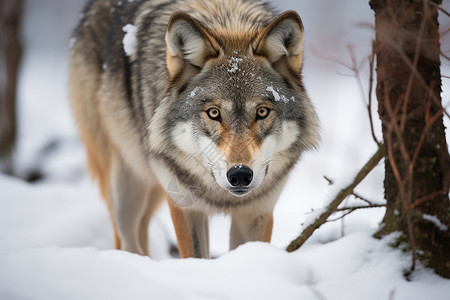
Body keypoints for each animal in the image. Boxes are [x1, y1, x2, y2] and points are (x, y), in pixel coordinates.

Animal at [68, 0, 318, 258]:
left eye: (262, 112)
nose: (239, 174)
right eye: (214, 113)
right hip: (125, 190)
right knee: (127, 240)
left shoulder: (256, 212)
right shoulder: (185, 206)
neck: (225, 18)